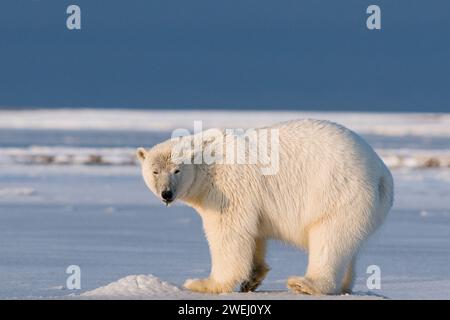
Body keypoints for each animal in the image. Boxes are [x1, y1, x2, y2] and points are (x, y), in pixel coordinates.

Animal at [137, 119, 394, 296]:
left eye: (176, 170)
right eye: (155, 171)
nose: (166, 193)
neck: (208, 160)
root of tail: (382, 175)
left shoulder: (227, 188)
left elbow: (228, 232)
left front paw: (204, 283)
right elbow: (254, 234)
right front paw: (252, 278)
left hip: (339, 193)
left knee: (329, 239)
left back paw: (305, 283)